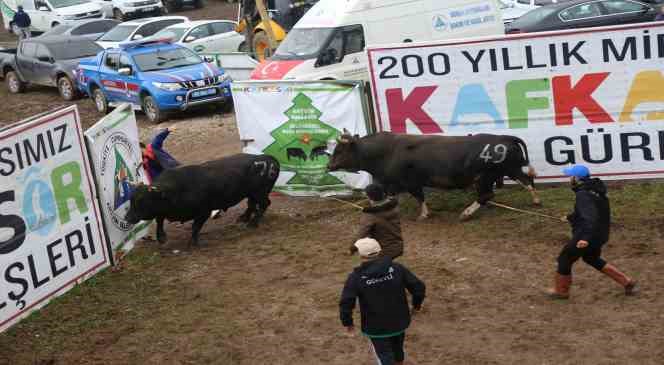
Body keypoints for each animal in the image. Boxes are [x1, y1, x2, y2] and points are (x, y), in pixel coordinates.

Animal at [125, 152, 280, 246]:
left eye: (142, 201)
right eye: (131, 200)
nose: (127, 218)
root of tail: (267, 159)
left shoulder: (204, 211)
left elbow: (195, 226)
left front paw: (192, 242)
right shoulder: (163, 209)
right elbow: (159, 218)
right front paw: (161, 237)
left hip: (260, 192)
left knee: (264, 204)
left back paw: (253, 223)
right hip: (251, 193)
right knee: (251, 204)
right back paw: (244, 218)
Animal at [326, 131, 540, 222]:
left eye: (339, 150)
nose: (329, 166)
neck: (386, 151)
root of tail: (504, 138)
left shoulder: (410, 183)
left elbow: (419, 197)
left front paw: (423, 214)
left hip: (485, 177)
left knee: (486, 196)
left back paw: (466, 213)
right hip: (511, 170)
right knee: (527, 181)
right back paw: (536, 201)